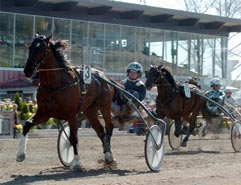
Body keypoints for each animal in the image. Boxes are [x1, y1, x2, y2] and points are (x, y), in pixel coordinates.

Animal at [17, 34, 115, 166]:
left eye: (41, 49)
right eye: (30, 47)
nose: (28, 70)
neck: (55, 85)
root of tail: (104, 76)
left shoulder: (71, 114)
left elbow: (73, 138)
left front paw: (77, 161)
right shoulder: (44, 114)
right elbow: (27, 125)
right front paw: (20, 155)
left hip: (105, 106)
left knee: (109, 127)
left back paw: (109, 155)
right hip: (90, 110)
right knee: (100, 131)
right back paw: (107, 155)